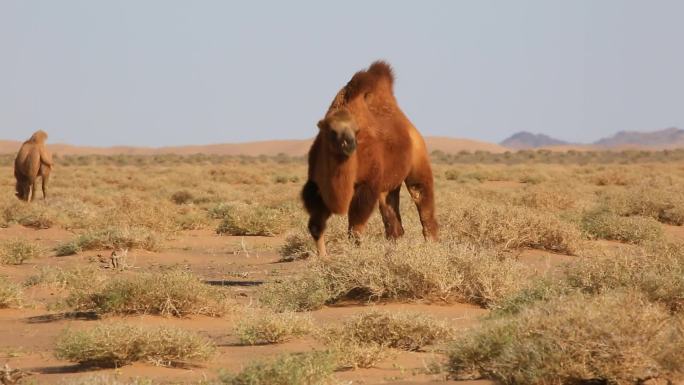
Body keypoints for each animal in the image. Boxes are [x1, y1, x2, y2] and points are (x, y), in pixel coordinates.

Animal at [304, 60, 438, 255]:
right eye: (332, 131)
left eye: (356, 130)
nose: (348, 144)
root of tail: (411, 130)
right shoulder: (317, 185)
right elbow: (316, 225)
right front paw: (323, 257)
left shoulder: (367, 184)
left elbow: (356, 227)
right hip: (387, 185)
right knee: (392, 218)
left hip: (417, 162)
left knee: (421, 196)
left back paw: (432, 245)